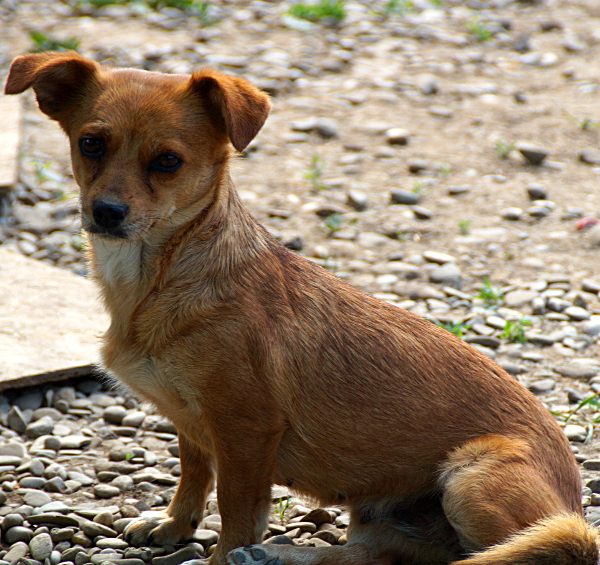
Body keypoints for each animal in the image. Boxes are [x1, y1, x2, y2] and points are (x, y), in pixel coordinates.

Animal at [5, 50, 600, 560]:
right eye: (91, 144)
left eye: (168, 161)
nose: (106, 211)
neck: (159, 275)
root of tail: (571, 503)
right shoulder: (193, 422)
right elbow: (194, 474)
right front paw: (176, 525)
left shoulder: (246, 431)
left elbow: (236, 510)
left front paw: (220, 555)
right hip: (382, 516)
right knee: (375, 555)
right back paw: (280, 556)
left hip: (473, 478)